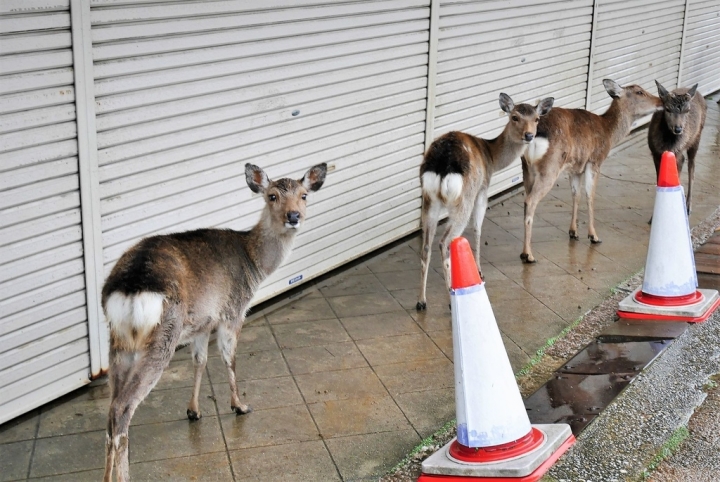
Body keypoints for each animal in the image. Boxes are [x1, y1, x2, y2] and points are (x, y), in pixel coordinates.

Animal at [100, 163, 326, 482]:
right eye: (272, 196)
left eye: (304, 195)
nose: (293, 216)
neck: (254, 265)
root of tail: (128, 287)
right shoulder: (233, 311)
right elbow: (230, 359)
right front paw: (240, 405)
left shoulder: (202, 322)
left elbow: (200, 361)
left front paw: (193, 411)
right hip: (163, 335)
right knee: (122, 408)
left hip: (119, 341)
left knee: (110, 411)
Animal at [414, 92, 556, 310]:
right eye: (515, 117)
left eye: (536, 119)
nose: (529, 135)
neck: (491, 156)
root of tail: (441, 163)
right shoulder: (483, 188)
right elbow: (478, 228)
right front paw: (480, 271)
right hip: (464, 199)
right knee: (444, 241)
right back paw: (450, 297)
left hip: (430, 200)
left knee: (426, 246)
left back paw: (421, 301)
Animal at [516, 81, 664, 266]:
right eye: (639, 92)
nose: (661, 101)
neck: (608, 133)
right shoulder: (594, 160)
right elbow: (590, 195)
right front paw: (594, 236)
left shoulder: (575, 167)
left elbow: (576, 194)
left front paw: (573, 232)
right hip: (550, 168)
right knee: (530, 201)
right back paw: (528, 255)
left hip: (527, 169)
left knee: (526, 199)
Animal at [648, 80, 704, 216]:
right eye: (667, 109)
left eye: (687, 110)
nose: (678, 129)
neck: (667, 144)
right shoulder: (655, 153)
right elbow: (659, 180)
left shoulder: (678, 155)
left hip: (696, 138)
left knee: (692, 168)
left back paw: (688, 205)